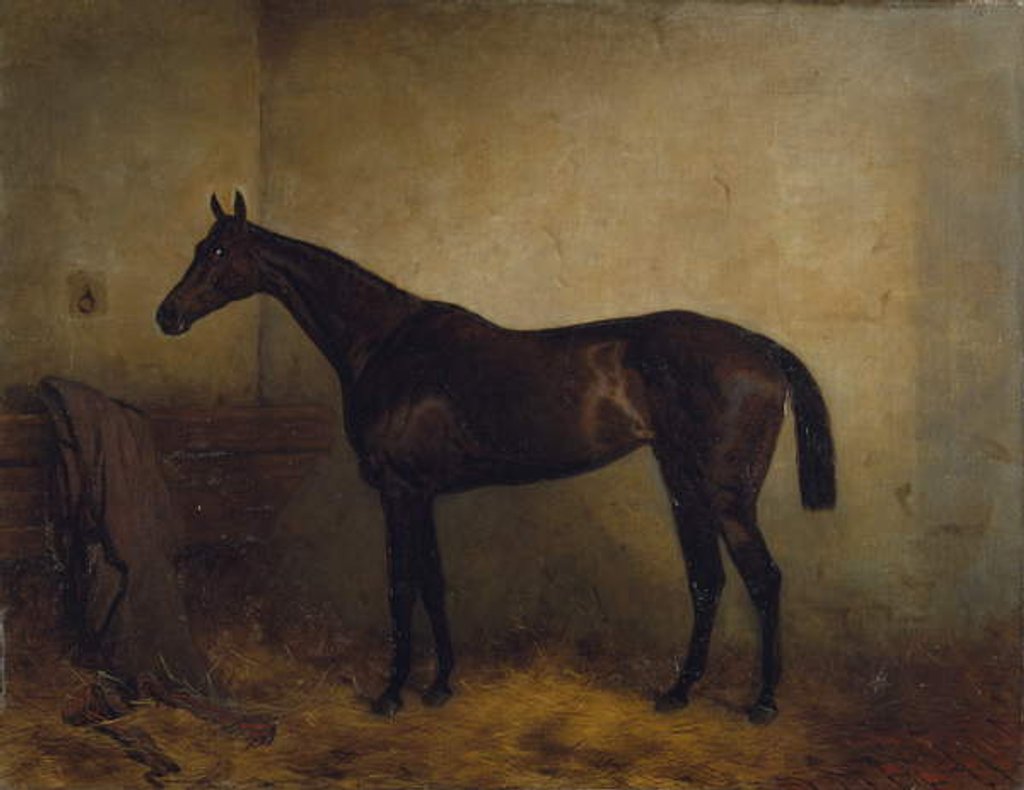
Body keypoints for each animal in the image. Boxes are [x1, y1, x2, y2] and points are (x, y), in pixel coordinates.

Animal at [156, 191, 835, 725]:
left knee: (762, 579)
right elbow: (434, 583)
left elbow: (401, 585)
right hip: (683, 483)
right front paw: (438, 685)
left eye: (218, 253)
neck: (386, 344)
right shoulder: (423, 493)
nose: (168, 314)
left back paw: (763, 702)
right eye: (198, 246)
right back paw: (677, 692)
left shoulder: (399, 491)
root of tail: (759, 348)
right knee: (707, 579)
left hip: (727, 494)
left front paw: (390, 694)